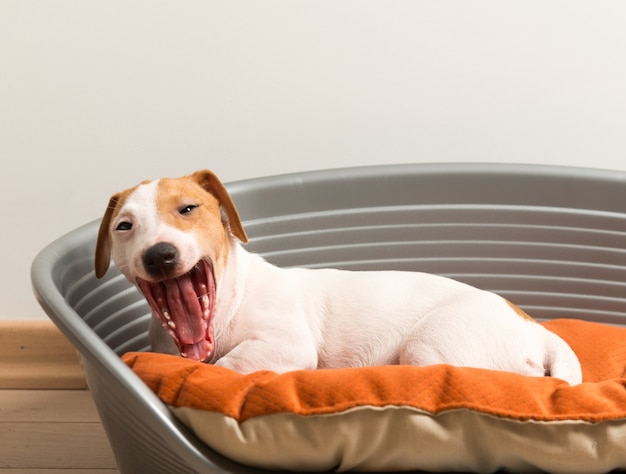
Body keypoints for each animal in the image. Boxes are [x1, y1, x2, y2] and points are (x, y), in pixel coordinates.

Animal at [95, 170, 584, 386]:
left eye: (188, 209)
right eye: (124, 226)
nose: (160, 256)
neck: (228, 304)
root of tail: (539, 330)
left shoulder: (285, 344)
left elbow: (227, 369)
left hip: (431, 347)